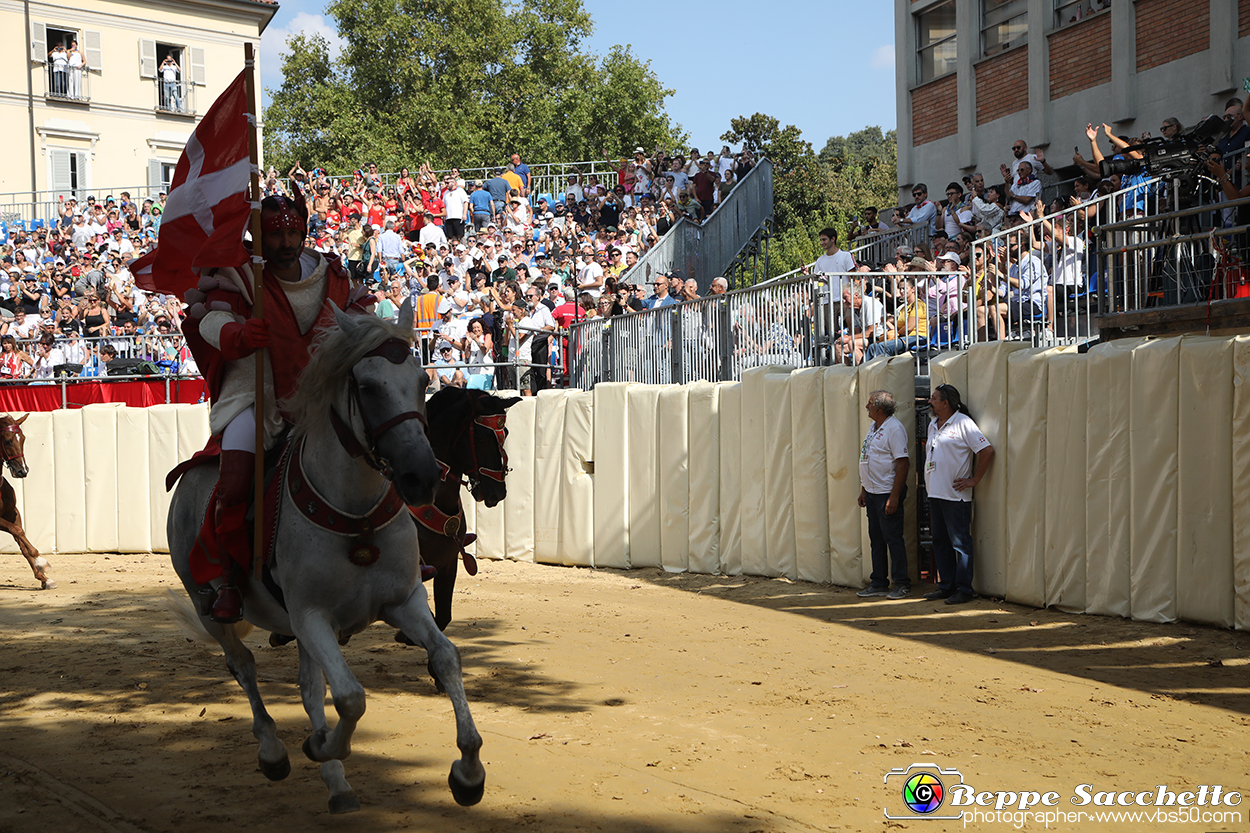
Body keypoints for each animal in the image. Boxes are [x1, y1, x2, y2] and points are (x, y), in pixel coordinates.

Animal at [0, 412, 55, 587]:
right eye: (7, 440)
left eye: (23, 438)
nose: (22, 471)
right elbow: (17, 531)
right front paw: (41, 560)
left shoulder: (13, 513)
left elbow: (20, 537)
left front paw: (44, 577)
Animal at [170, 300, 487, 810]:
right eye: (366, 386)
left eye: (422, 381)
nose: (421, 475)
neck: (356, 516)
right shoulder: (312, 616)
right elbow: (352, 697)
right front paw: (321, 745)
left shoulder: (404, 601)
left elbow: (446, 658)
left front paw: (469, 770)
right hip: (209, 605)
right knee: (244, 664)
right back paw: (275, 750)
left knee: (308, 686)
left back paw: (336, 782)